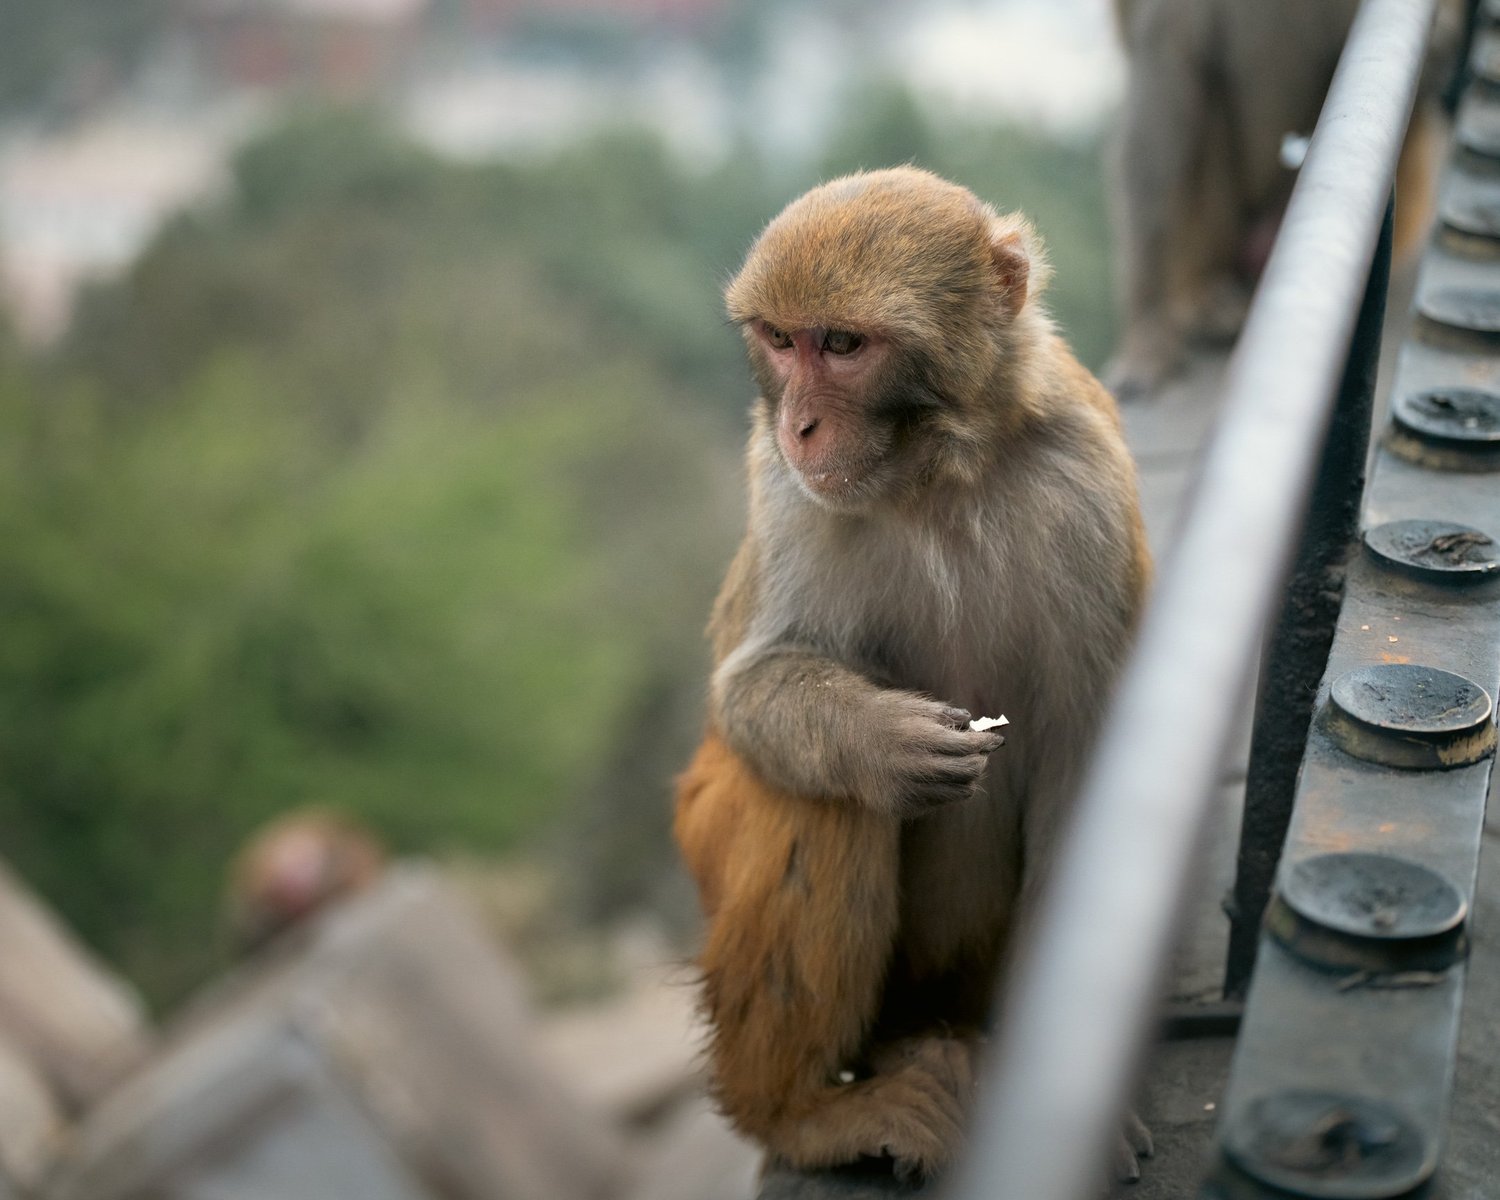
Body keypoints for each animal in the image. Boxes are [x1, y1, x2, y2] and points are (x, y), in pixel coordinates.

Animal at [673, 167, 1152, 1181]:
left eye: (844, 345)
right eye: (781, 340)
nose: (799, 425)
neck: (940, 475)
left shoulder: (1086, 481)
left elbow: (1086, 758)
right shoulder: (782, 491)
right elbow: (749, 688)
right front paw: (880, 740)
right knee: (821, 803)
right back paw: (801, 1112)